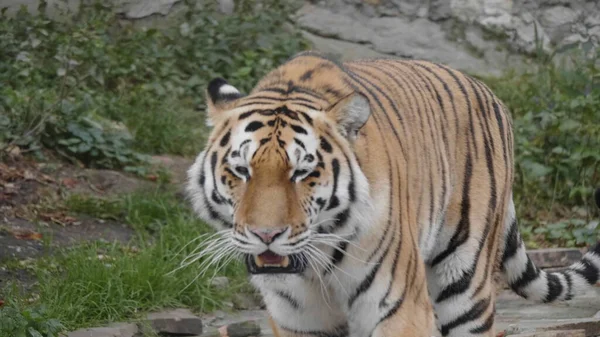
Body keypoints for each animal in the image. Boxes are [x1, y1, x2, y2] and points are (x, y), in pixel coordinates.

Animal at [186, 50, 600, 336]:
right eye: (241, 171)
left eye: (302, 172)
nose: (266, 236)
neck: (316, 266)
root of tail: (488, 91)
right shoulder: (297, 319)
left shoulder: (398, 308)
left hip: (464, 281)